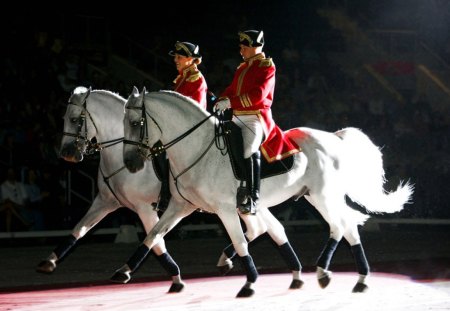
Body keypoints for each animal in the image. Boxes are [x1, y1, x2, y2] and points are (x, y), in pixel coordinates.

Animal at [34, 86, 186, 294]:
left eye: (74, 119)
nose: (66, 154)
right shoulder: (105, 201)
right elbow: (79, 228)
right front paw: (50, 260)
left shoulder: (145, 208)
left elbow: (156, 241)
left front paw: (173, 276)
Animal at [112, 86, 412, 298]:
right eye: (123, 122)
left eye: (136, 123)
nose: (131, 163)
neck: (197, 147)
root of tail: (334, 138)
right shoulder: (180, 206)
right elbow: (153, 235)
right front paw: (124, 271)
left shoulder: (224, 209)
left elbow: (240, 241)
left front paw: (249, 283)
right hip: (316, 196)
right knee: (346, 225)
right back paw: (359, 279)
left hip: (323, 196)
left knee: (339, 225)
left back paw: (325, 271)